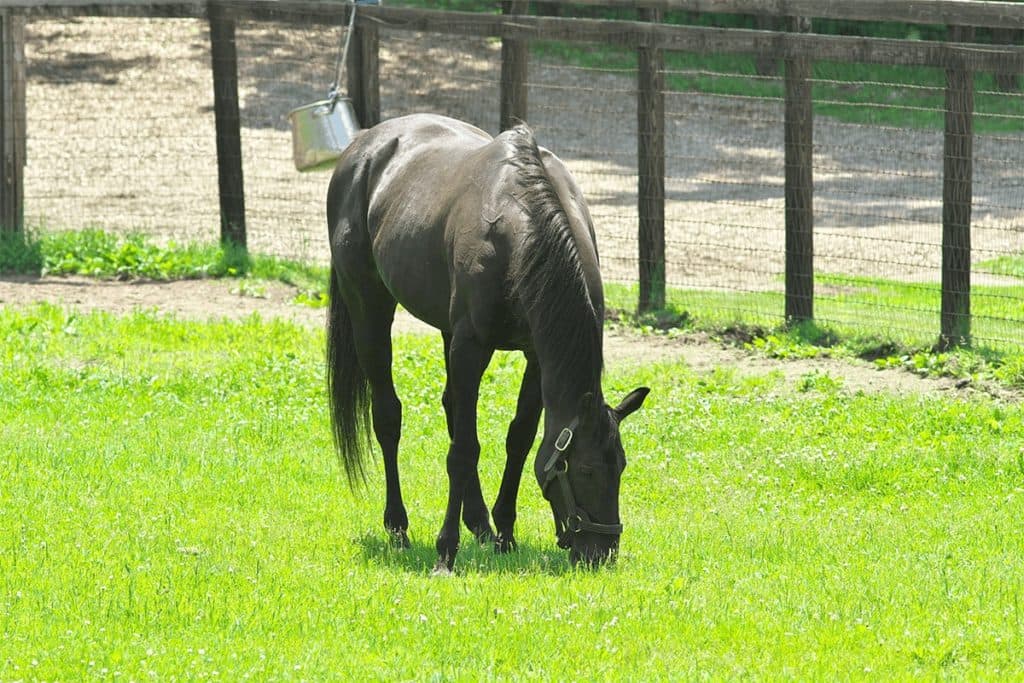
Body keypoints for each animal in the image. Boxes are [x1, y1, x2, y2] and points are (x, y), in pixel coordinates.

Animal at [326, 113, 649, 572]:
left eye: (620, 467)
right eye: (586, 470)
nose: (601, 552)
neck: (522, 233)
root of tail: (364, 144)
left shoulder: (536, 356)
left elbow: (519, 440)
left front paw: (505, 533)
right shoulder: (471, 348)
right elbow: (462, 450)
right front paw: (446, 549)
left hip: (445, 330)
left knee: (451, 408)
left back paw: (479, 522)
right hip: (370, 309)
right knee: (388, 416)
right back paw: (399, 526)